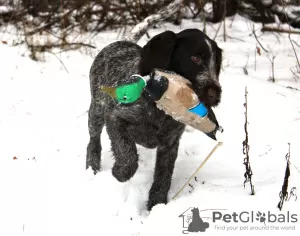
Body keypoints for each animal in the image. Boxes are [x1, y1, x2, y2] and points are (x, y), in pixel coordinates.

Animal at [85, 28, 221, 211]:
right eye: (195, 58)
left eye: (216, 63)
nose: (215, 94)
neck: (160, 109)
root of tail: (121, 42)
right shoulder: (114, 117)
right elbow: (127, 154)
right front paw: (120, 173)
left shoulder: (169, 144)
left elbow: (163, 177)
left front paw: (157, 205)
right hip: (97, 111)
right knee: (93, 141)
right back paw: (92, 168)